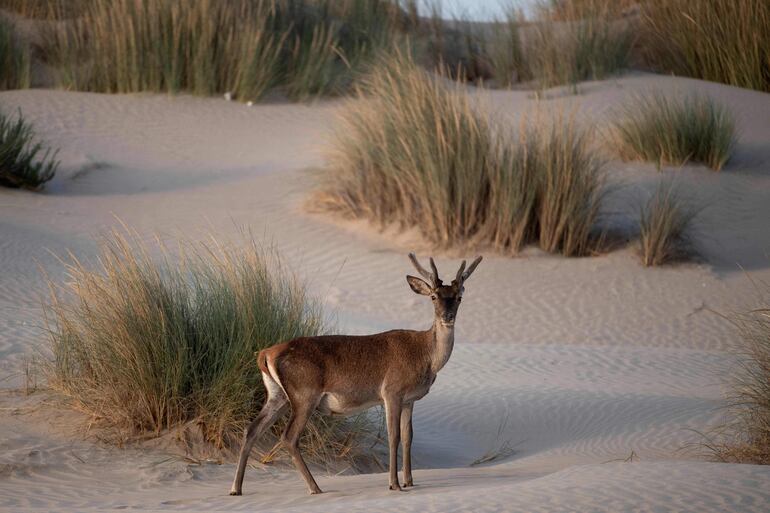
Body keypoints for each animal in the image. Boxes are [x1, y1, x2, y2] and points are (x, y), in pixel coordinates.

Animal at [228, 252, 480, 496]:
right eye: (434, 297)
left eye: (458, 297)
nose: (448, 317)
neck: (425, 356)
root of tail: (265, 354)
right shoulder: (391, 391)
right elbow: (394, 436)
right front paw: (394, 484)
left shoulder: (410, 399)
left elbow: (408, 437)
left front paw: (409, 481)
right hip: (304, 394)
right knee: (289, 437)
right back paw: (315, 487)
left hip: (277, 395)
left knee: (251, 430)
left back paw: (236, 488)